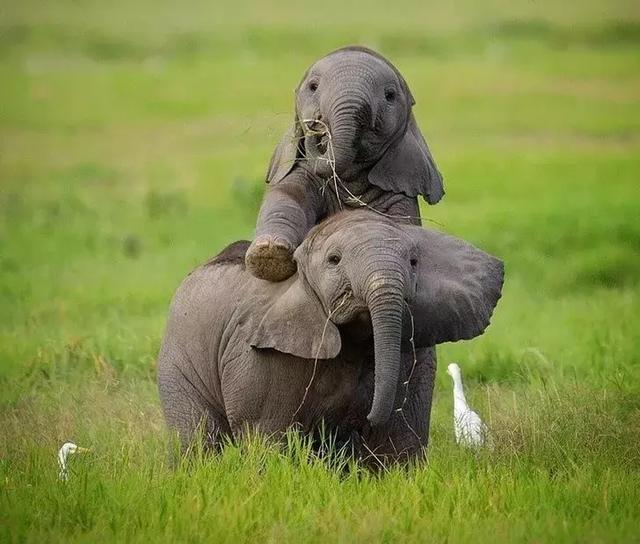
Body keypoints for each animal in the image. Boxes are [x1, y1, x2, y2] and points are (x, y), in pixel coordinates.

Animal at [158, 210, 502, 466]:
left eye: (414, 262)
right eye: (334, 260)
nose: (368, 416)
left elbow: (397, 436)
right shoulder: (259, 356)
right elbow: (267, 434)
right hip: (178, 360)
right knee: (198, 438)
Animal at [245, 46, 444, 282]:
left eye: (390, 95)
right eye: (313, 87)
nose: (316, 124)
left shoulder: (399, 189)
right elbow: (288, 197)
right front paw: (269, 255)